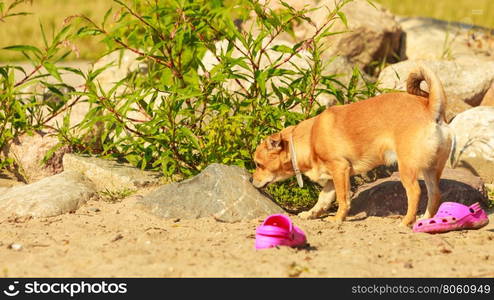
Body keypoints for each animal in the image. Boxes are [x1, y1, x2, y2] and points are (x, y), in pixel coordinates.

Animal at [253, 65, 454, 225]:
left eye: (258, 164)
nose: (252, 180)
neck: (309, 139)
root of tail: (430, 108)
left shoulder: (339, 170)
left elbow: (343, 199)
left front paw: (337, 219)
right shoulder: (331, 180)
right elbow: (323, 199)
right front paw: (311, 213)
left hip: (407, 168)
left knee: (415, 192)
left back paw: (406, 222)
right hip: (430, 169)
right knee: (435, 194)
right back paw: (425, 219)